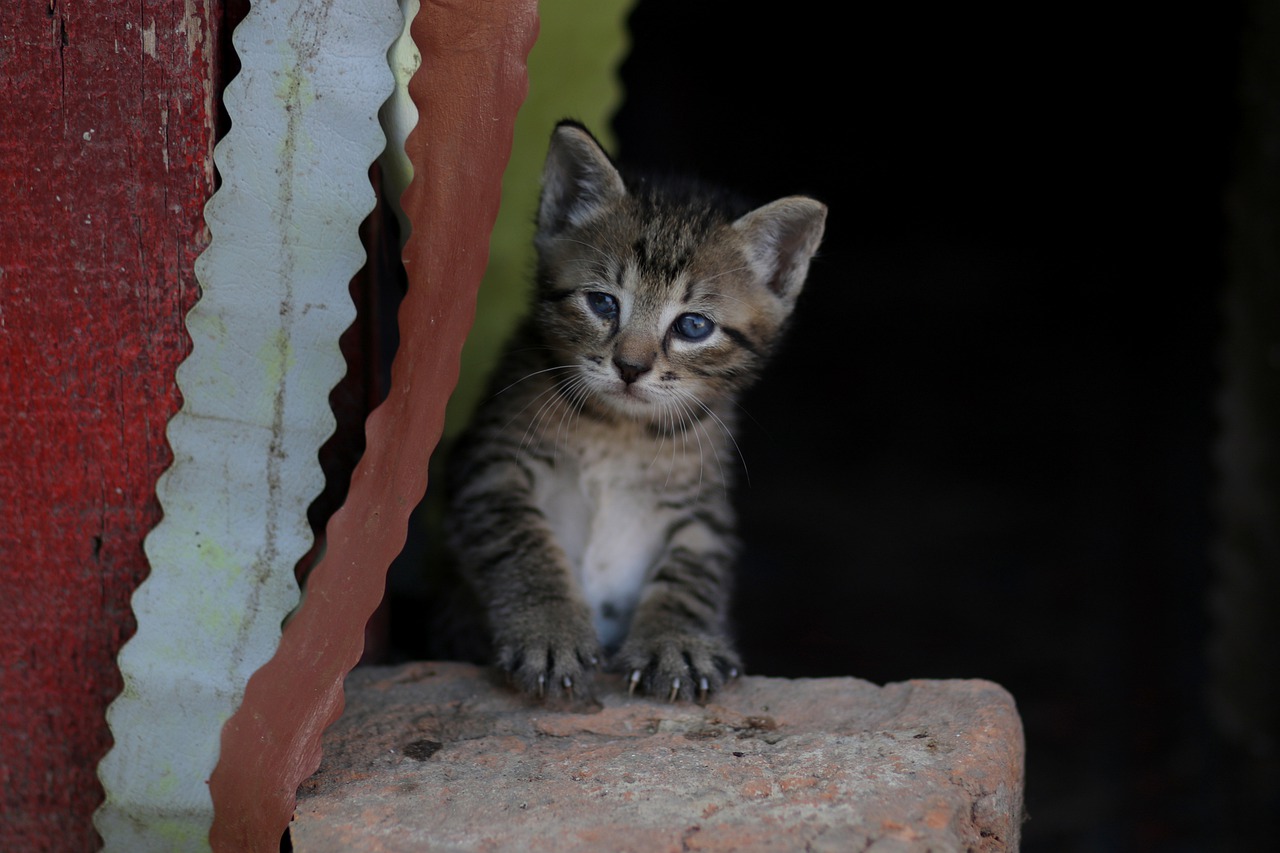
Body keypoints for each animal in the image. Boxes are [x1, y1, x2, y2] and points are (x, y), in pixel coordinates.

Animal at [440, 121, 824, 701]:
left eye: (693, 326)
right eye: (603, 303)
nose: (629, 367)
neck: (618, 431)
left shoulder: (703, 509)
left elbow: (691, 577)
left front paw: (676, 642)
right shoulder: (490, 466)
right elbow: (521, 540)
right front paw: (549, 629)